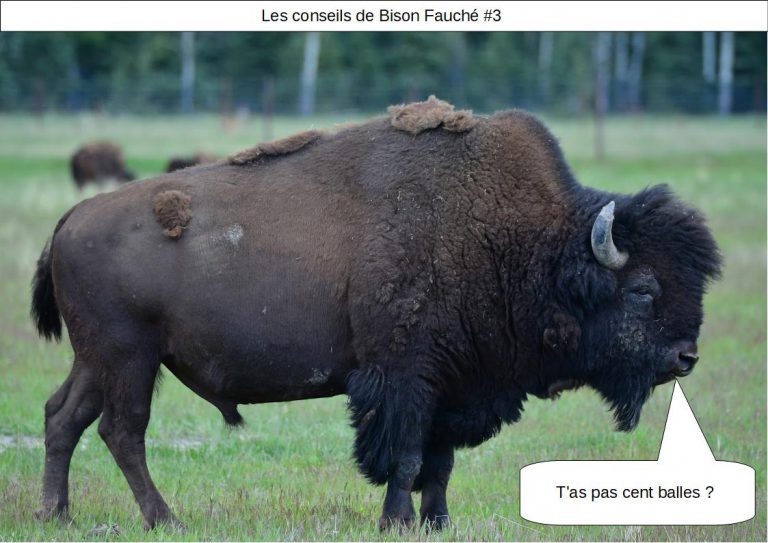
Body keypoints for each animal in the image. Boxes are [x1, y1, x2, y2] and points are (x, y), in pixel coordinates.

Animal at [32, 96, 721, 531]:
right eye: (643, 290)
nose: (686, 356)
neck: (522, 241)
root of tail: (69, 220)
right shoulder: (405, 379)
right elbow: (407, 457)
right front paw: (397, 521)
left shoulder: (455, 385)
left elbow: (440, 463)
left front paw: (439, 522)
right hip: (130, 358)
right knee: (122, 431)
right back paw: (164, 519)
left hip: (96, 360)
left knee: (64, 417)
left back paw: (57, 514)